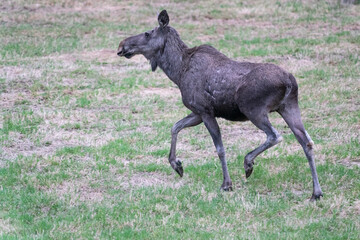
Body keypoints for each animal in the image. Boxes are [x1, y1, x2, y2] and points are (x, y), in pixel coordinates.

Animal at [117, 9, 324, 201]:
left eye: (147, 33)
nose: (121, 45)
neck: (177, 72)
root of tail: (289, 82)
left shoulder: (205, 111)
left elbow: (220, 148)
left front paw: (226, 184)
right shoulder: (197, 112)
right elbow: (175, 127)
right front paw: (177, 165)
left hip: (254, 109)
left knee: (275, 135)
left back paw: (248, 163)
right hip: (289, 107)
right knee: (307, 141)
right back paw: (316, 192)